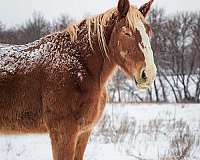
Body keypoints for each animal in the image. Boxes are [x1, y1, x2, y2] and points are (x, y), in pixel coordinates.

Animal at [0, 0, 156, 159]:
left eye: (148, 32)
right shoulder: (63, 133)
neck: (80, 66)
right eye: (126, 32)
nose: (148, 73)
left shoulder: (83, 133)